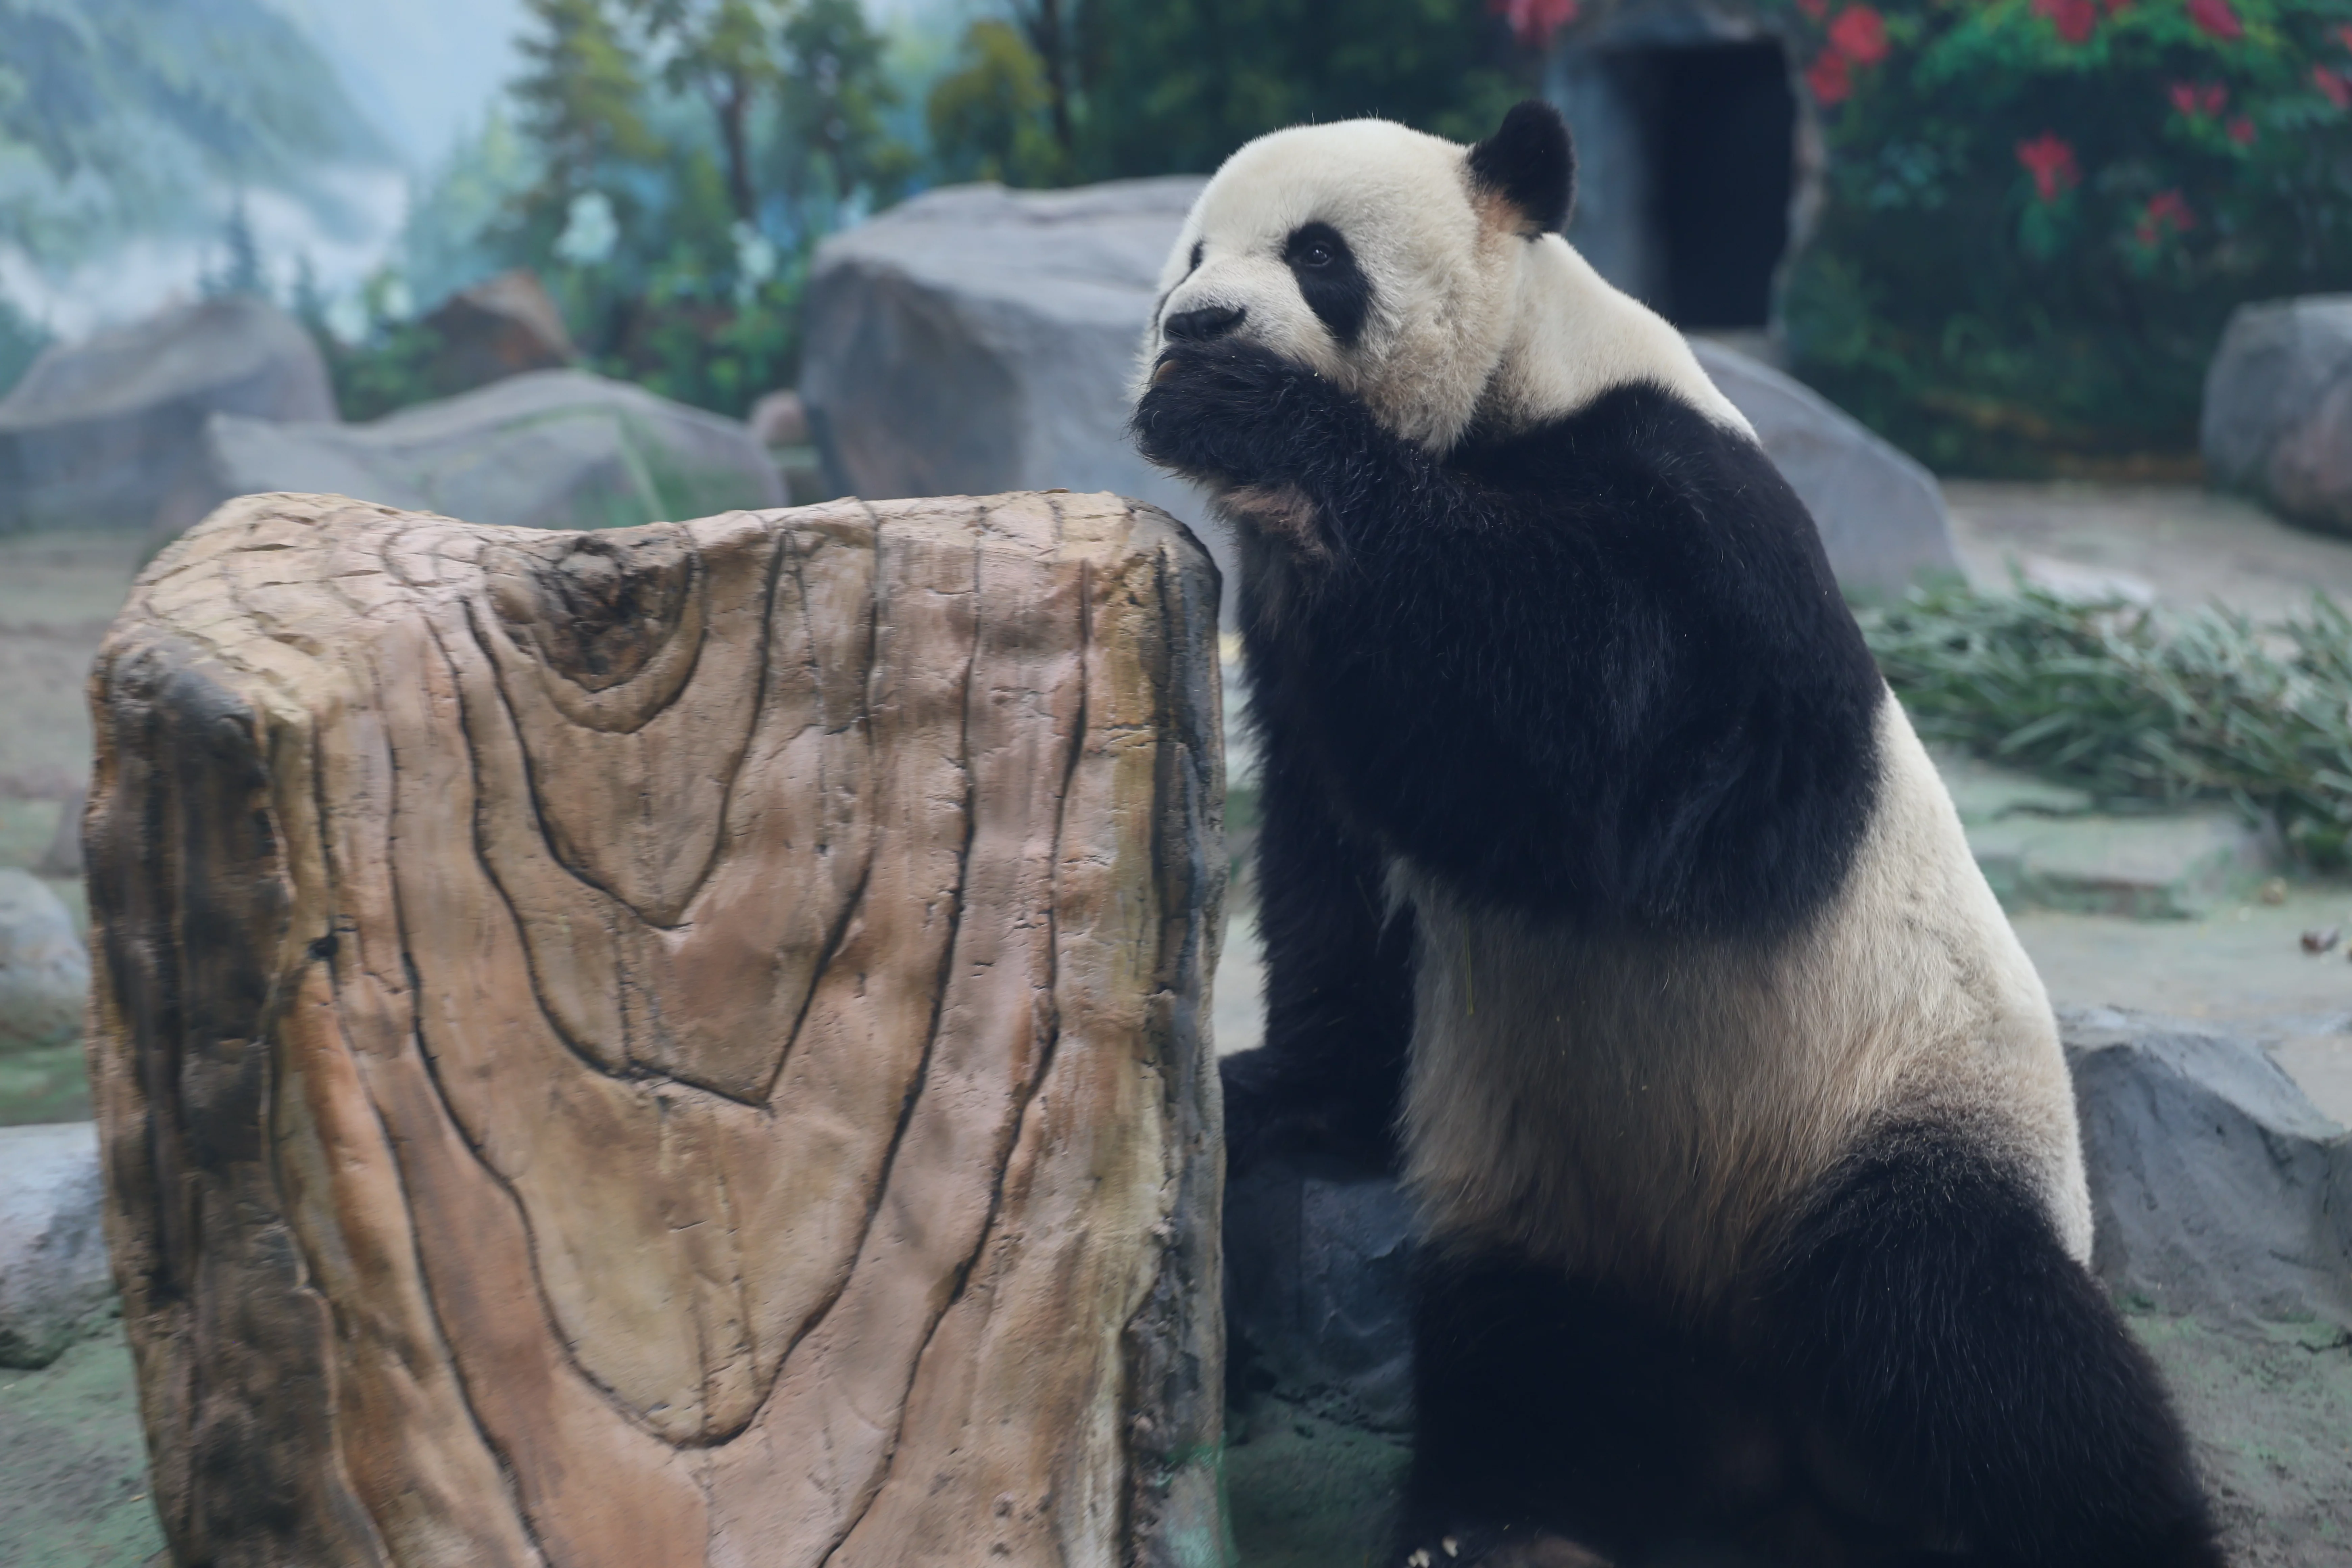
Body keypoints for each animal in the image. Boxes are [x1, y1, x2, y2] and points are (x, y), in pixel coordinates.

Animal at [1131, 102, 2220, 1568]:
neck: (1512, 386)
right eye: (1193, 253)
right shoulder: (1302, 632)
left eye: (1318, 256)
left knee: (1968, 1330)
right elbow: (1339, 863)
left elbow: (1601, 740)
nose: (1196, 323)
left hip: (1900, 1111)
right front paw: (1288, 1089)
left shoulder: (1691, 506)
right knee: (1538, 1361)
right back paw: (1496, 1520)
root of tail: (1776, 1445)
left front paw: (1244, 416)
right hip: (1560, 1206)